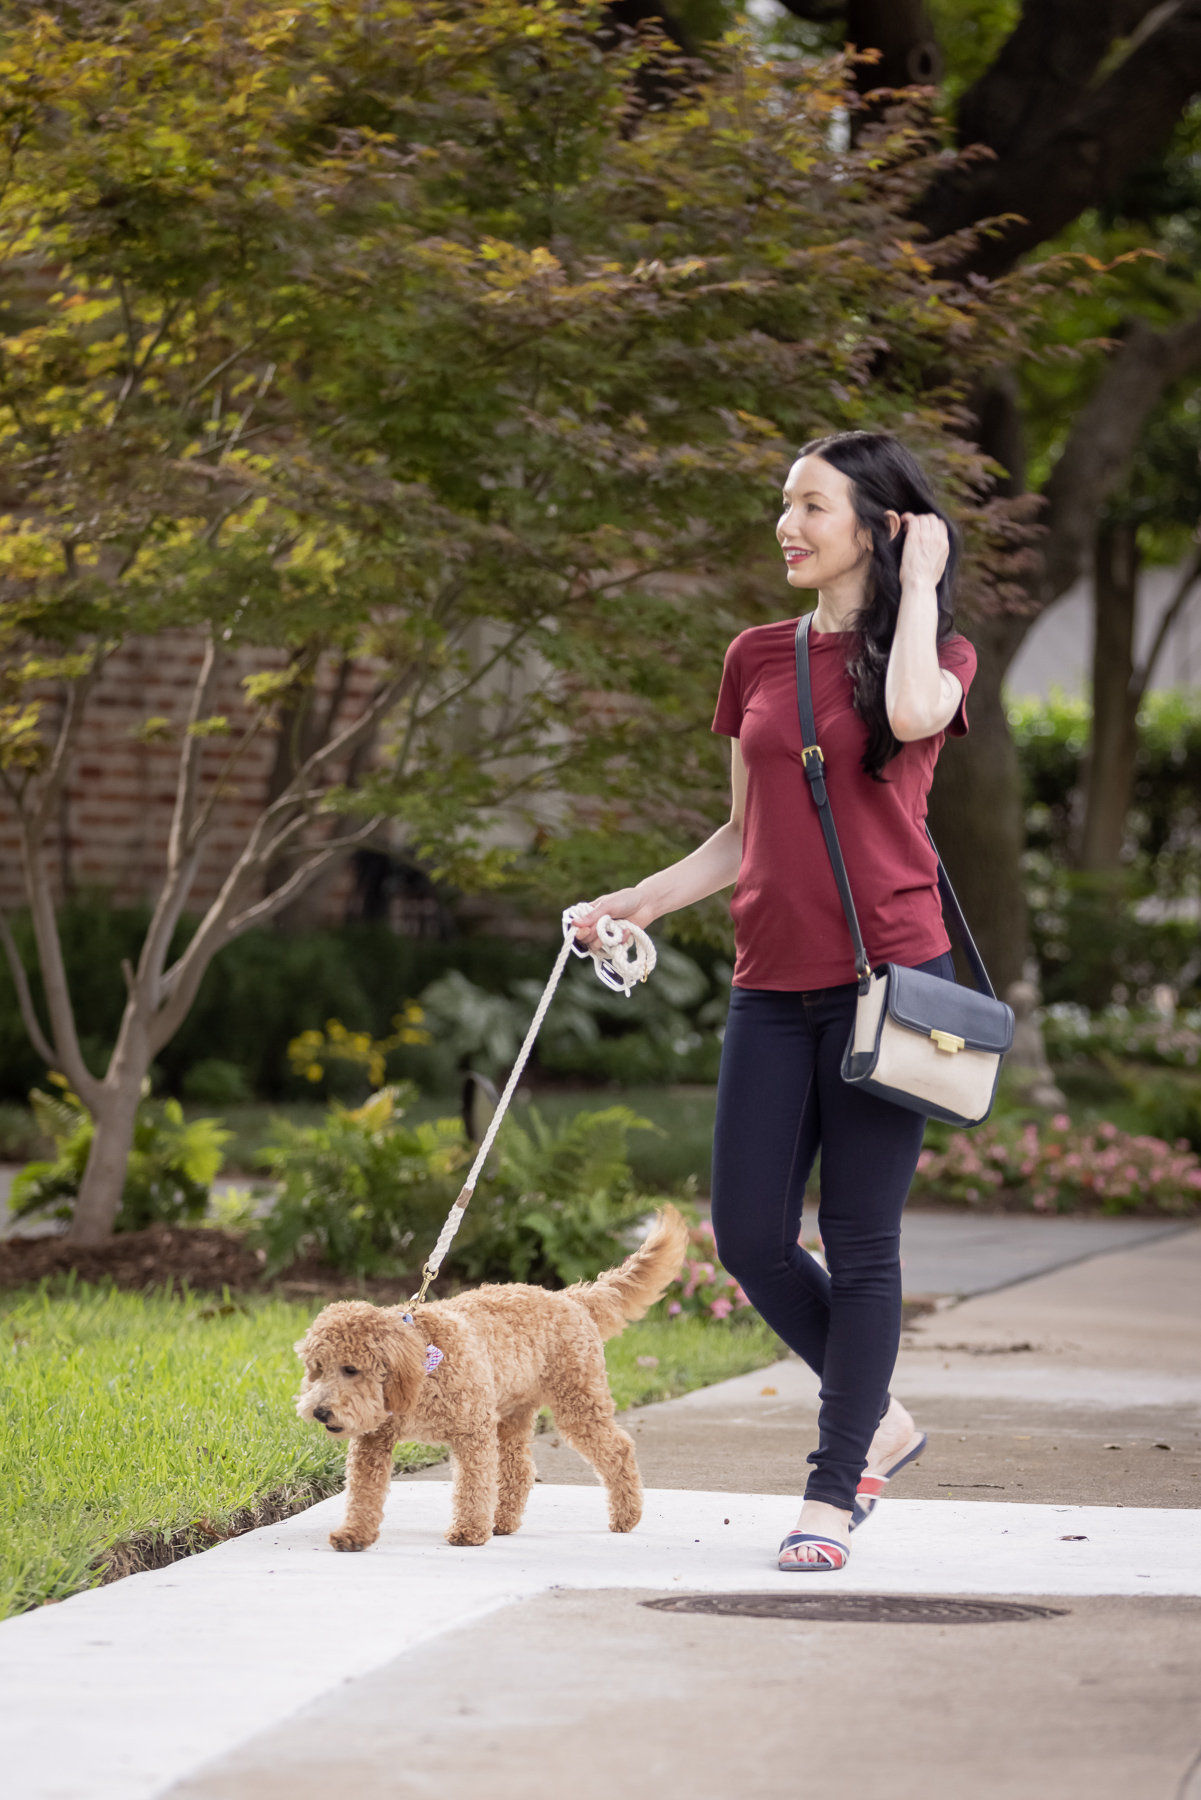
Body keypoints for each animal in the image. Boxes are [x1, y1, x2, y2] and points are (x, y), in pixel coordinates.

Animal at [293, 1209, 684, 1548]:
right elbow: (364, 1490)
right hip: (513, 1414)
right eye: (317, 1369)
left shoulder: (473, 1430)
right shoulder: (374, 1441)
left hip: (578, 1402)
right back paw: (503, 1521)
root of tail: (570, 1298)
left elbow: (474, 1483)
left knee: (618, 1449)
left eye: (351, 1369)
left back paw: (626, 1516)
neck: (420, 1373)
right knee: (519, 1469)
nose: (320, 1412)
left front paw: (468, 1531)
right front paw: (354, 1533)